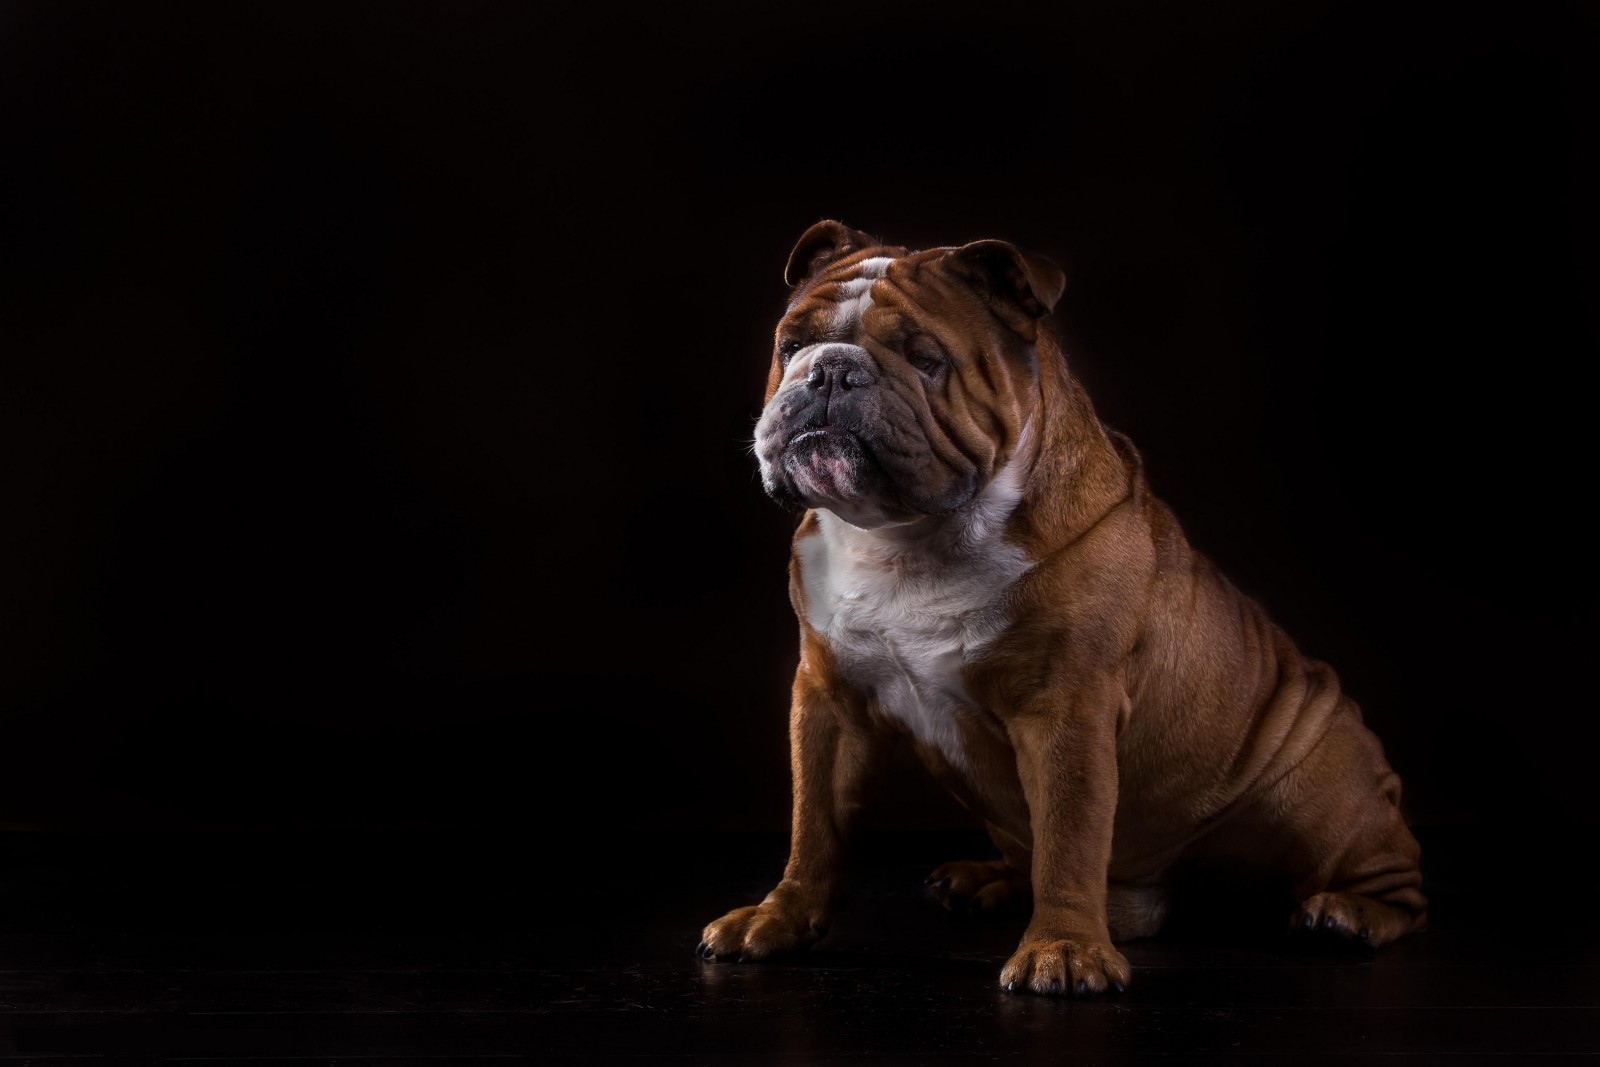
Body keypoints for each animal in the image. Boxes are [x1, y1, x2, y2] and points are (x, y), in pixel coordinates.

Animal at [697, 220, 1427, 998]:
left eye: (926, 360)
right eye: (790, 346)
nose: (830, 370)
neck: (905, 539)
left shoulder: (1067, 711)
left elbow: (1069, 840)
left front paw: (1065, 948)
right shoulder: (830, 703)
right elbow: (815, 826)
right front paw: (779, 917)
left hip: (1317, 788)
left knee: (1395, 884)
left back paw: (1346, 913)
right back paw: (989, 880)